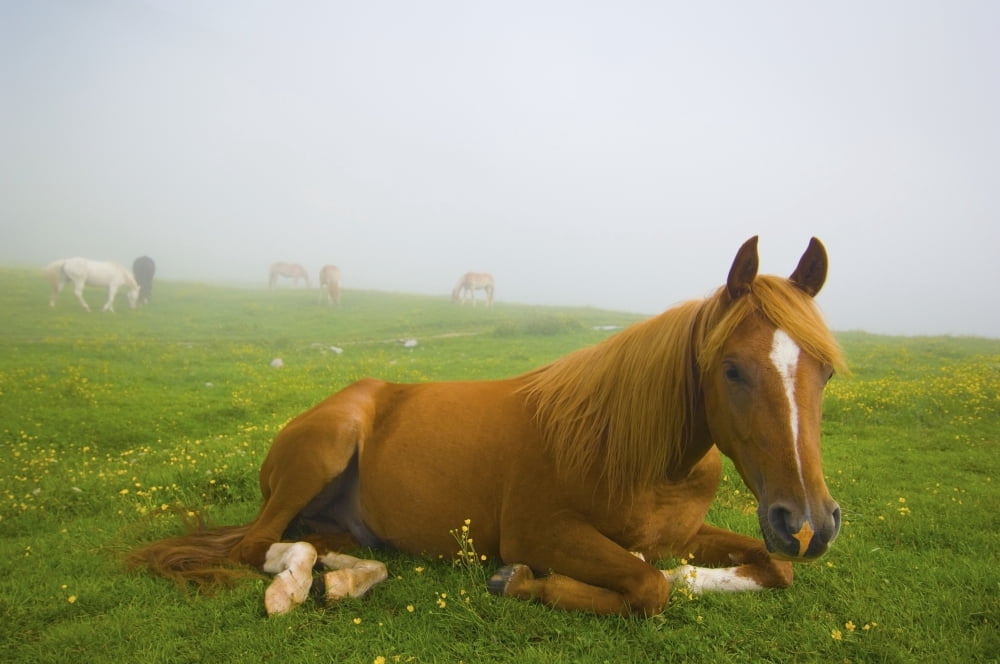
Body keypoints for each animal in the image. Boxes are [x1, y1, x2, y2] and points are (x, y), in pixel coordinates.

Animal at [129, 237, 847, 617]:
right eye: (732, 369)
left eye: (824, 371)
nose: (806, 524)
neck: (635, 454)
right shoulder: (541, 531)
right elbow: (645, 586)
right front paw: (525, 581)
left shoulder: (686, 534)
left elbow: (761, 569)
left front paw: (695, 576)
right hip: (324, 450)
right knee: (257, 546)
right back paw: (293, 586)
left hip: (343, 520)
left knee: (310, 542)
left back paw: (340, 575)